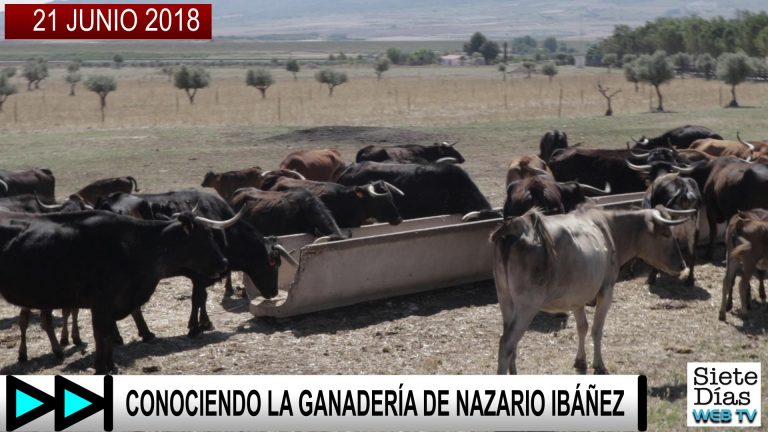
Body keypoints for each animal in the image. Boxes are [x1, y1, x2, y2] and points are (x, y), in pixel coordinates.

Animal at [0, 211, 231, 372]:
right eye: (205, 236)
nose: (224, 263)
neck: (133, 246)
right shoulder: (100, 303)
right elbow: (100, 334)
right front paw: (100, 367)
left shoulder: (113, 303)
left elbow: (109, 334)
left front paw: (111, 365)